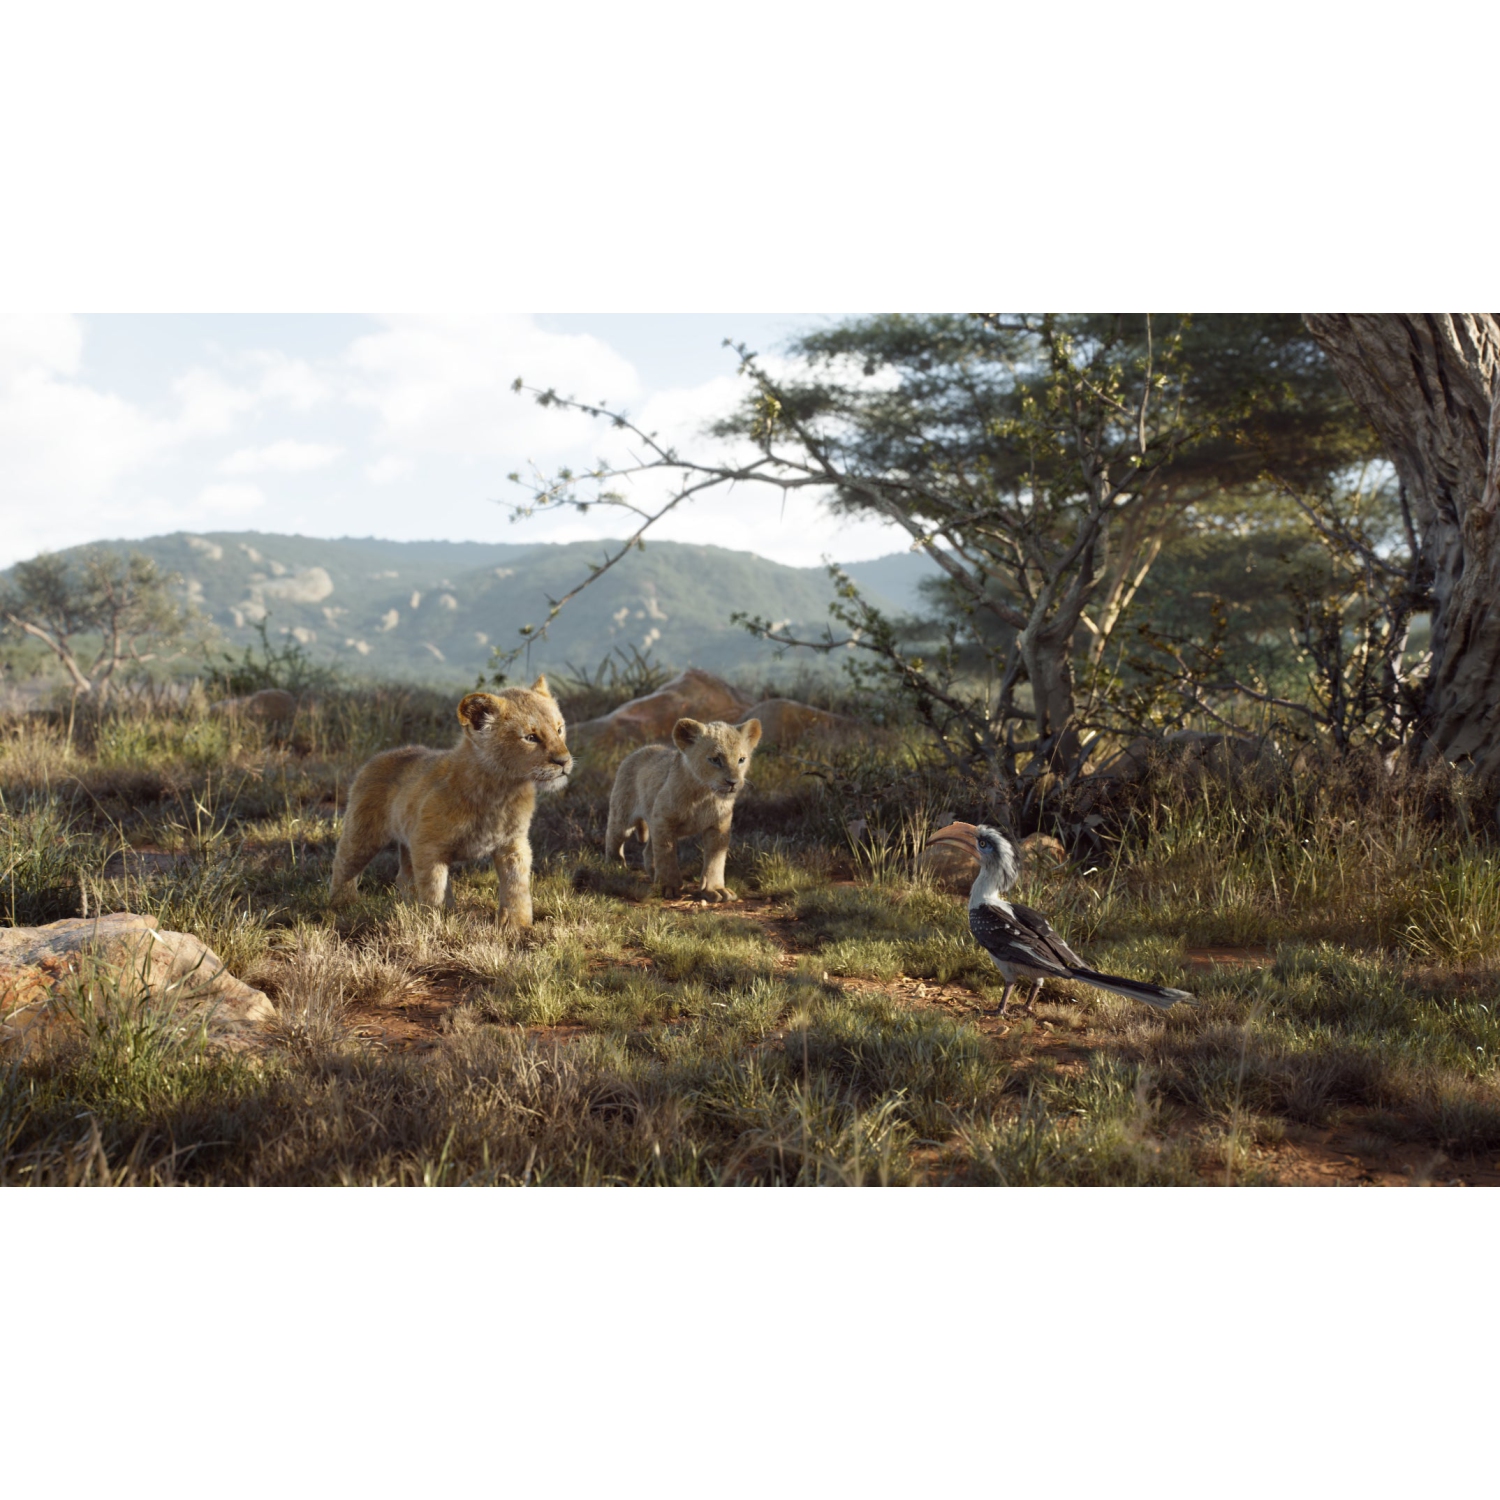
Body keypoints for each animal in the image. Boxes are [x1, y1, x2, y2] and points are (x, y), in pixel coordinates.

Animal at [329, 677, 571, 926]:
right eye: (531, 738)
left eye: (559, 729)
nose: (564, 761)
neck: (501, 792)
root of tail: (378, 757)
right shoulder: (428, 846)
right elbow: (434, 890)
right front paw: (436, 922)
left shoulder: (513, 844)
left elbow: (517, 887)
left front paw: (517, 926)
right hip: (363, 834)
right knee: (343, 865)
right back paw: (341, 905)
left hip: (406, 839)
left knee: (404, 876)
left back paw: (408, 907)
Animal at [605, 717, 762, 900]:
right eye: (715, 759)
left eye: (741, 759)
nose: (733, 783)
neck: (704, 795)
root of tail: (640, 750)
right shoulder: (663, 821)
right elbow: (666, 854)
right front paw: (668, 887)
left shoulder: (719, 826)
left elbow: (716, 859)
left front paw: (715, 889)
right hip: (623, 814)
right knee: (614, 836)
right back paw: (615, 866)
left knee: (648, 851)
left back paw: (653, 874)